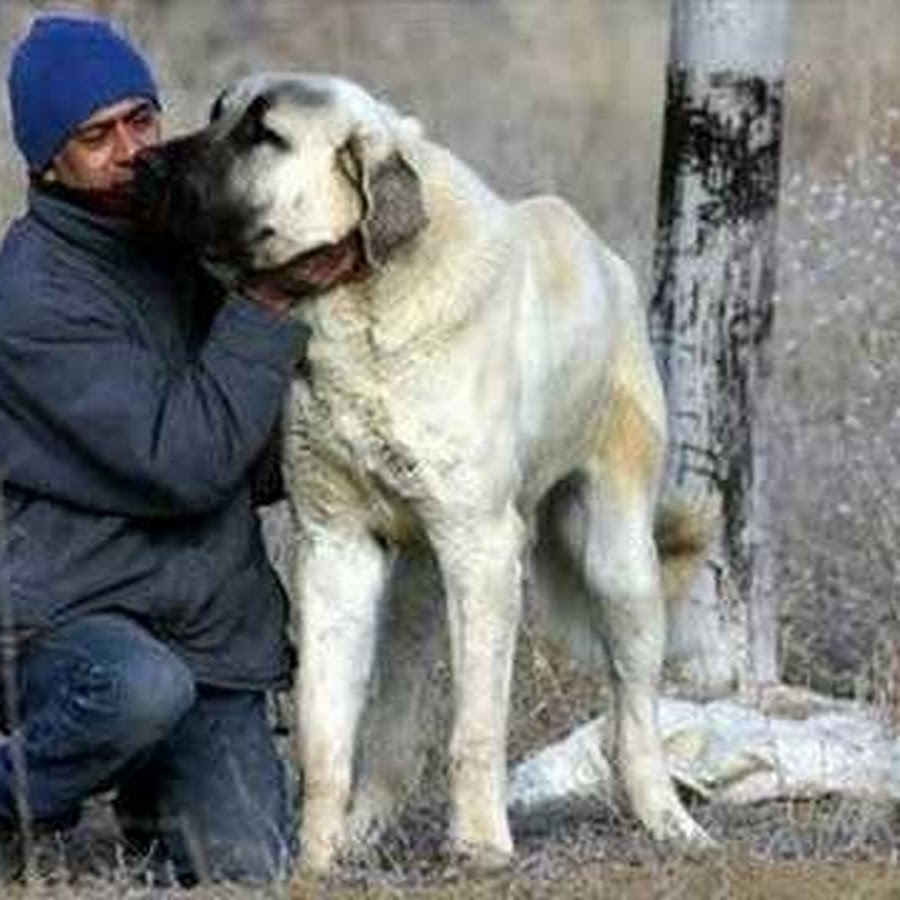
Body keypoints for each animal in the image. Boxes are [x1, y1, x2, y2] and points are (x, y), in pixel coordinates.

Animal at [141, 74, 712, 876]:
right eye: (220, 114)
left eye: (263, 134)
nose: (147, 166)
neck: (362, 311)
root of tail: (605, 257)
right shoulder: (336, 548)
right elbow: (325, 732)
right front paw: (316, 859)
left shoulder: (482, 549)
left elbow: (474, 728)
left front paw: (479, 847)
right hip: (414, 587)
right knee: (395, 727)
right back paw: (363, 830)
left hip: (618, 563)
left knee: (634, 710)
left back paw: (669, 820)